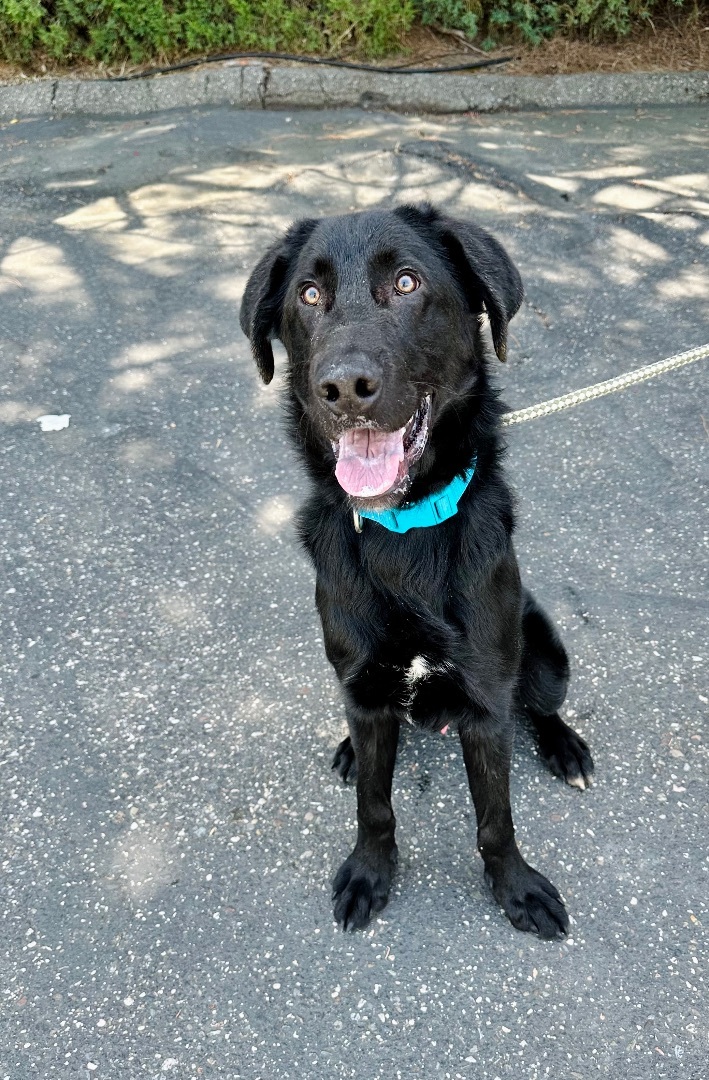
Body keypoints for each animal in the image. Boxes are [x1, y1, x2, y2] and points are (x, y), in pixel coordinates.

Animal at [241, 200, 596, 937]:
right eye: (308, 295)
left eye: (407, 283)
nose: (344, 388)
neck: (402, 534)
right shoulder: (364, 687)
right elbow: (375, 807)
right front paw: (370, 872)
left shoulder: (486, 703)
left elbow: (495, 818)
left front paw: (515, 887)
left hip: (546, 650)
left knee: (542, 705)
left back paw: (565, 747)